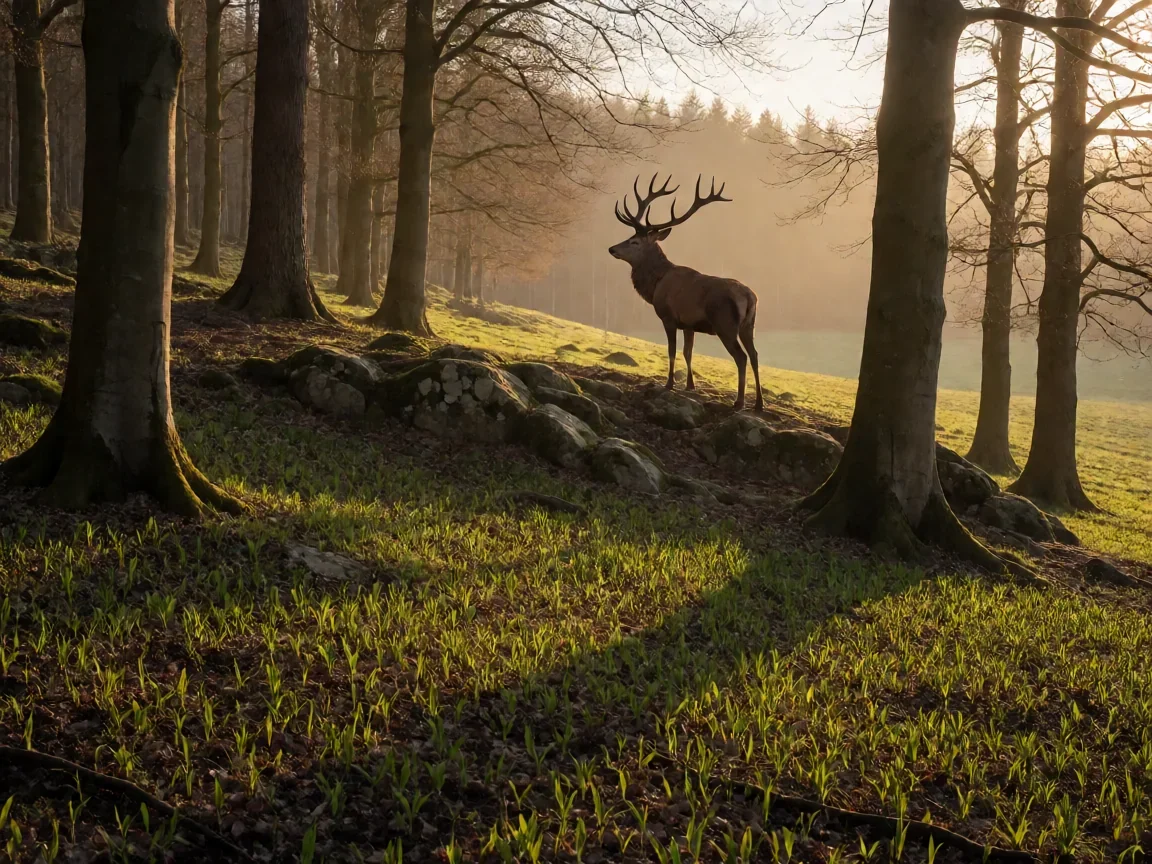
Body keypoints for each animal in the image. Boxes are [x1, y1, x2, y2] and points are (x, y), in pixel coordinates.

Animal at [608, 173, 763, 411]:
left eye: (634, 241)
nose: (612, 249)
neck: (656, 285)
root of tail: (749, 297)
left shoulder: (668, 316)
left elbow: (672, 351)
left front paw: (669, 383)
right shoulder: (689, 324)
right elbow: (688, 352)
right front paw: (690, 385)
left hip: (725, 324)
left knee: (741, 357)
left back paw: (739, 401)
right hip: (748, 324)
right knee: (754, 354)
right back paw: (759, 404)